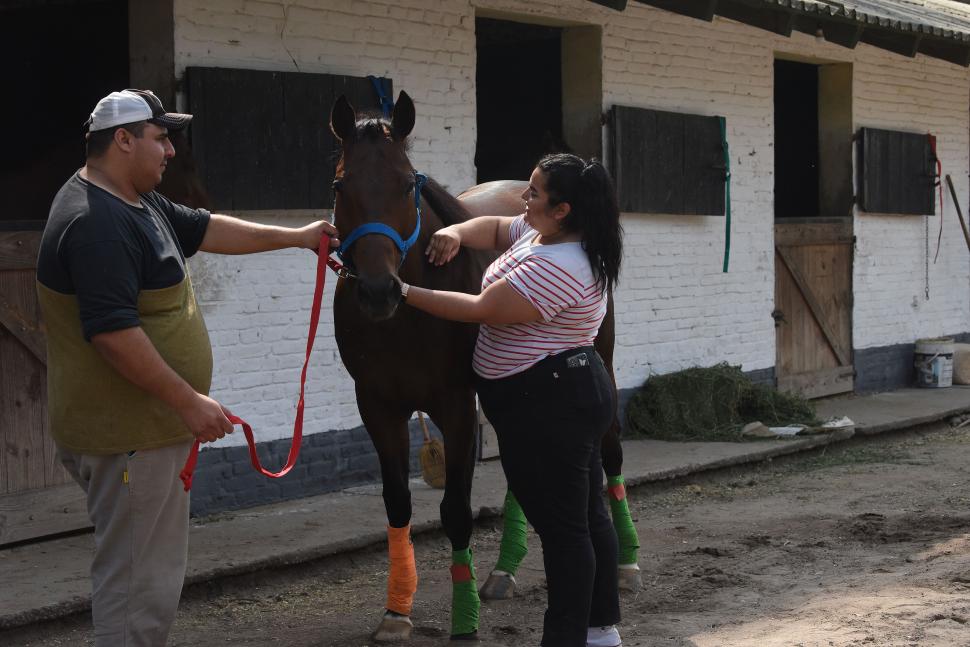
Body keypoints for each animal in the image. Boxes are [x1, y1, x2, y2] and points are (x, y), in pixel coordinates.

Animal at [328, 92, 488, 644]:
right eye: (341, 185)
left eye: (405, 182)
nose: (379, 292)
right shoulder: (378, 406)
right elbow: (397, 502)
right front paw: (397, 611)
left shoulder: (458, 405)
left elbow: (456, 509)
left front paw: (466, 617)